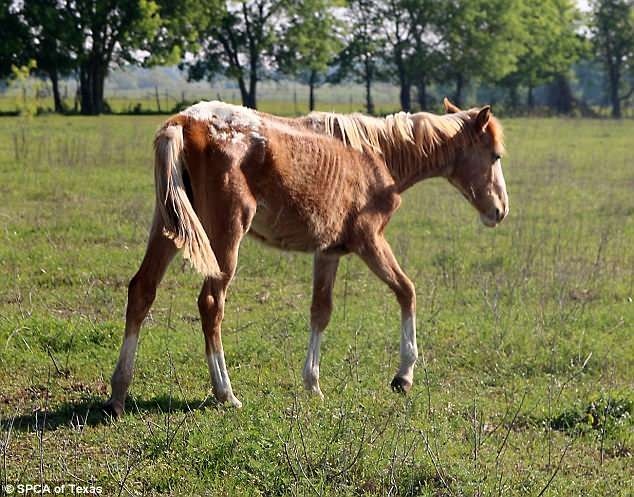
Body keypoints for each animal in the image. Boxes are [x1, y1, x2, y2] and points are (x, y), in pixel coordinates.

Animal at [103, 97, 508, 414]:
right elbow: (406, 291)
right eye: (495, 155)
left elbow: (320, 311)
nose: (500, 211)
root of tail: (183, 123)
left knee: (142, 290)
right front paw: (403, 376)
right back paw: (225, 393)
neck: (377, 157)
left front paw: (312, 383)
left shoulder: (328, 252)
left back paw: (119, 393)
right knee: (211, 303)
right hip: (225, 235)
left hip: (169, 226)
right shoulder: (369, 239)